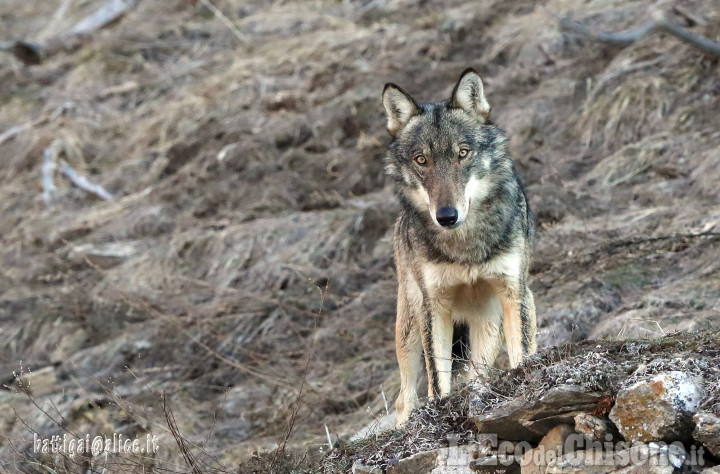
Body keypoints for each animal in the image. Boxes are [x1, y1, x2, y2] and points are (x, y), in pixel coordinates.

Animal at [382, 69, 536, 426]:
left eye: (462, 153)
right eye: (421, 160)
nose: (446, 216)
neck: (464, 245)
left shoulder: (513, 292)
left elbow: (521, 357)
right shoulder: (434, 306)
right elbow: (438, 383)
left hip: (494, 321)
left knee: (478, 374)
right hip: (409, 328)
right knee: (404, 397)